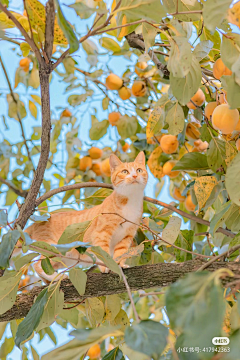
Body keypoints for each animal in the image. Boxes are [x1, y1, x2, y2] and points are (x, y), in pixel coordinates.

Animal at [21, 152, 148, 282]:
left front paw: (119, 265)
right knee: (37, 264)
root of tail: (36, 223)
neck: (130, 201)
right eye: (125, 171)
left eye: (139, 170)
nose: (134, 175)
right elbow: (104, 252)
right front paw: (106, 267)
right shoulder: (101, 233)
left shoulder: (126, 237)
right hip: (54, 248)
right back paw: (58, 277)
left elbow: (120, 253)